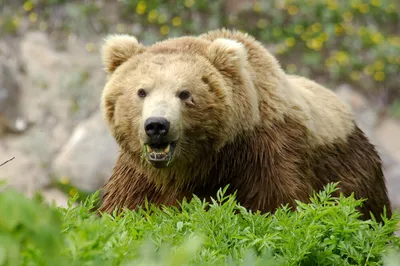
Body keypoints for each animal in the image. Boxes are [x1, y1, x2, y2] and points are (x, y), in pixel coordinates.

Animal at [98, 28, 392, 221]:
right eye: (141, 91)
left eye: (184, 93)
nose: (157, 125)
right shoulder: (139, 174)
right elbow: (123, 209)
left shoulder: (267, 156)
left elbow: (279, 206)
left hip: (354, 174)